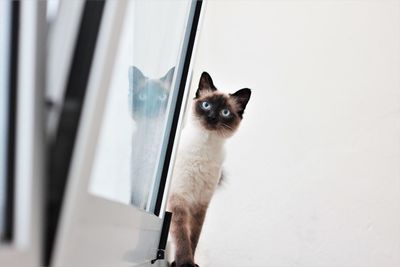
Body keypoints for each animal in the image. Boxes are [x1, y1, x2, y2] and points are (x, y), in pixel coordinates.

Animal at [167, 72, 252, 266]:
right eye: (206, 105)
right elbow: (181, 238)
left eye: (225, 112)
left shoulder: (200, 204)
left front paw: (191, 263)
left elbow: (193, 238)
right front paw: (185, 264)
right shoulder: (179, 199)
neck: (204, 148)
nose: (212, 117)